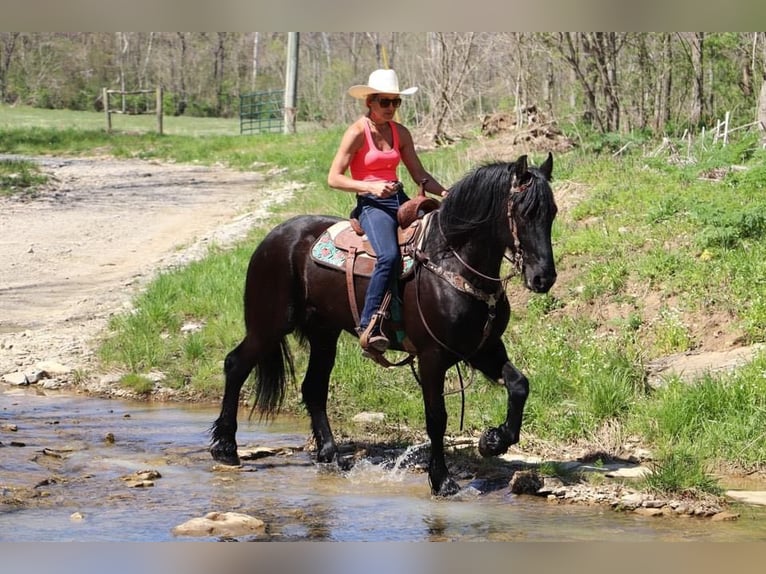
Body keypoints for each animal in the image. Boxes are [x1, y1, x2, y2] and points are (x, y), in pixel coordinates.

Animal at [210, 154, 560, 500]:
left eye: (552, 212)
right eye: (525, 212)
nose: (543, 278)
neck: (453, 263)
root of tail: (273, 237)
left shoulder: (482, 348)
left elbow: (519, 384)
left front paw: (493, 441)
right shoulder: (432, 358)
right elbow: (437, 418)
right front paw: (442, 481)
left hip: (324, 334)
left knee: (313, 388)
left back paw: (331, 454)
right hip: (268, 325)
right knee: (236, 364)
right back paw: (226, 448)